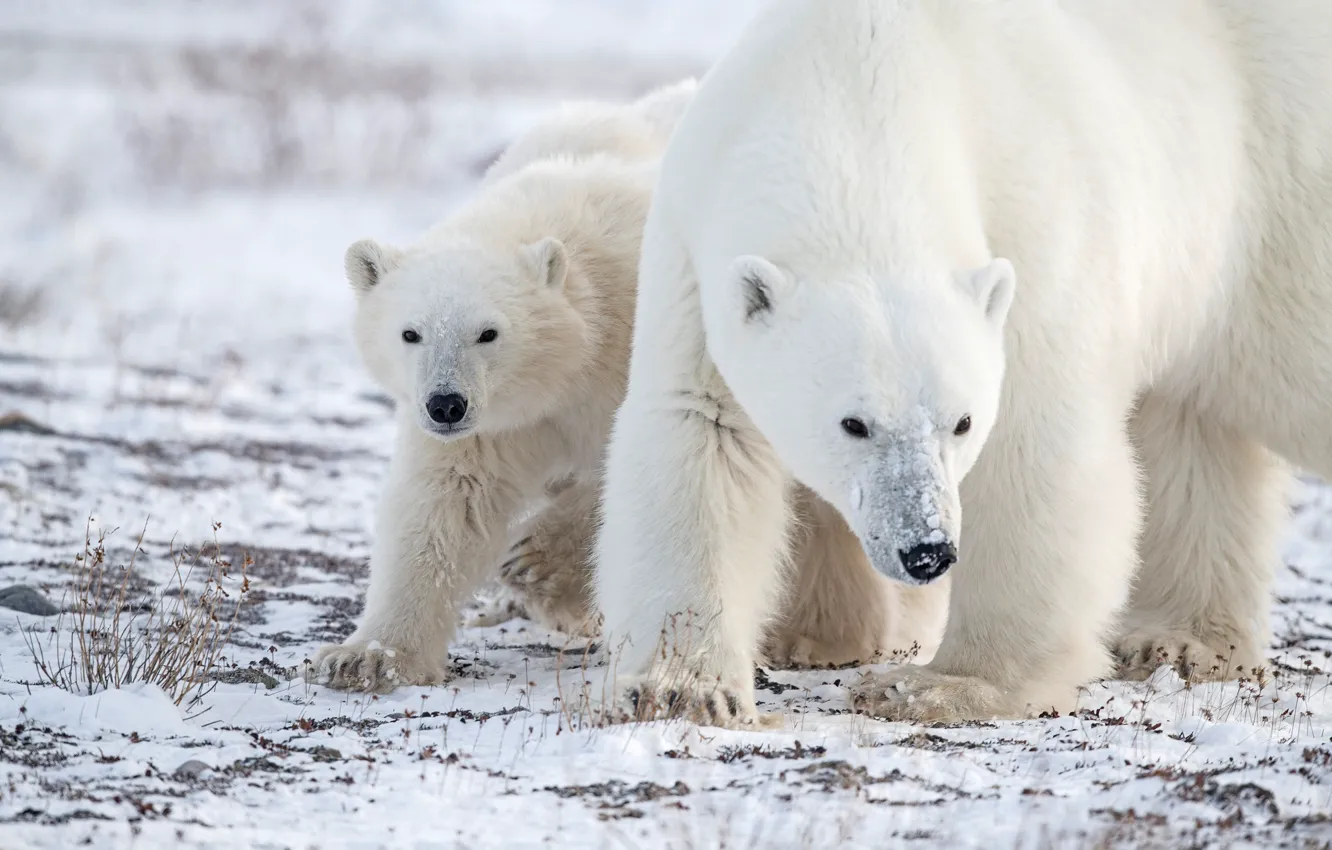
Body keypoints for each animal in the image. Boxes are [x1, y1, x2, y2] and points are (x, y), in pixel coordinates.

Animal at [602, 0, 1332, 730]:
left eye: (961, 422)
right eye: (853, 423)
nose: (926, 551)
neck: (864, 79)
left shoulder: (1037, 231)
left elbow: (1032, 445)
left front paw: (937, 684)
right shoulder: (693, 250)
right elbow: (701, 433)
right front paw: (684, 687)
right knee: (1193, 433)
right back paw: (1179, 641)